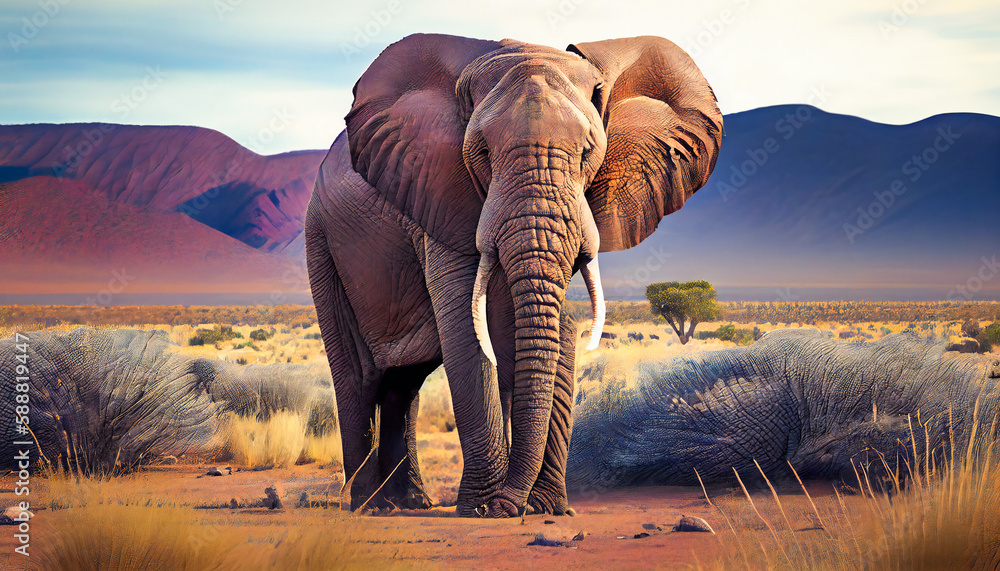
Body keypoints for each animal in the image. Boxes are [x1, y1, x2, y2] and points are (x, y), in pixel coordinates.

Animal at [305, 33, 722, 518]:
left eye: (587, 153)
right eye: (483, 153)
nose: (511, 506)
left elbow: (552, 327)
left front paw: (546, 508)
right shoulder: (440, 192)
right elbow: (467, 325)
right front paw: (483, 508)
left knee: (402, 385)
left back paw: (407, 504)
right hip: (322, 242)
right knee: (359, 375)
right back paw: (367, 507)